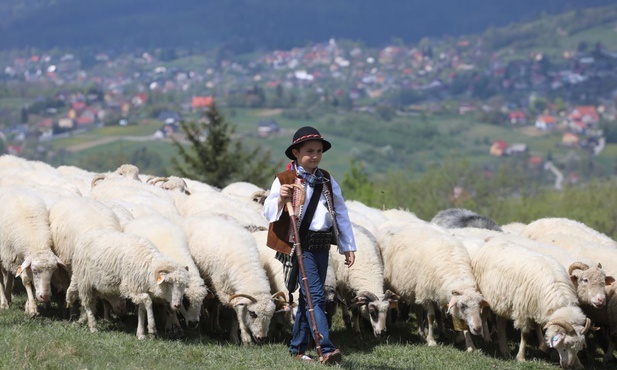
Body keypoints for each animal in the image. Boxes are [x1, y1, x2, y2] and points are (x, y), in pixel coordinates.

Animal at [0, 186, 67, 316]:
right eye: (35, 270)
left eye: (53, 271)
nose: (45, 297)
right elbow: (26, 281)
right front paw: (32, 308)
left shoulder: (19, 258)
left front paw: (43, 304)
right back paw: (4, 303)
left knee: (9, 275)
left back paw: (9, 296)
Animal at [182, 215, 276, 346]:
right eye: (252, 313)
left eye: (271, 315)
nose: (261, 338)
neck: (246, 266)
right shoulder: (223, 290)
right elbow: (237, 310)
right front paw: (245, 337)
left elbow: (235, 314)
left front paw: (235, 336)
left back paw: (215, 326)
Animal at [376, 221, 486, 352]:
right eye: (463, 306)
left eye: (479, 305)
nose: (478, 329)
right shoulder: (427, 294)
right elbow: (431, 316)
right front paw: (431, 340)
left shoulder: (437, 294)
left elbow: (455, 320)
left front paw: (470, 345)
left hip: (415, 288)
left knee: (418, 310)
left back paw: (421, 334)